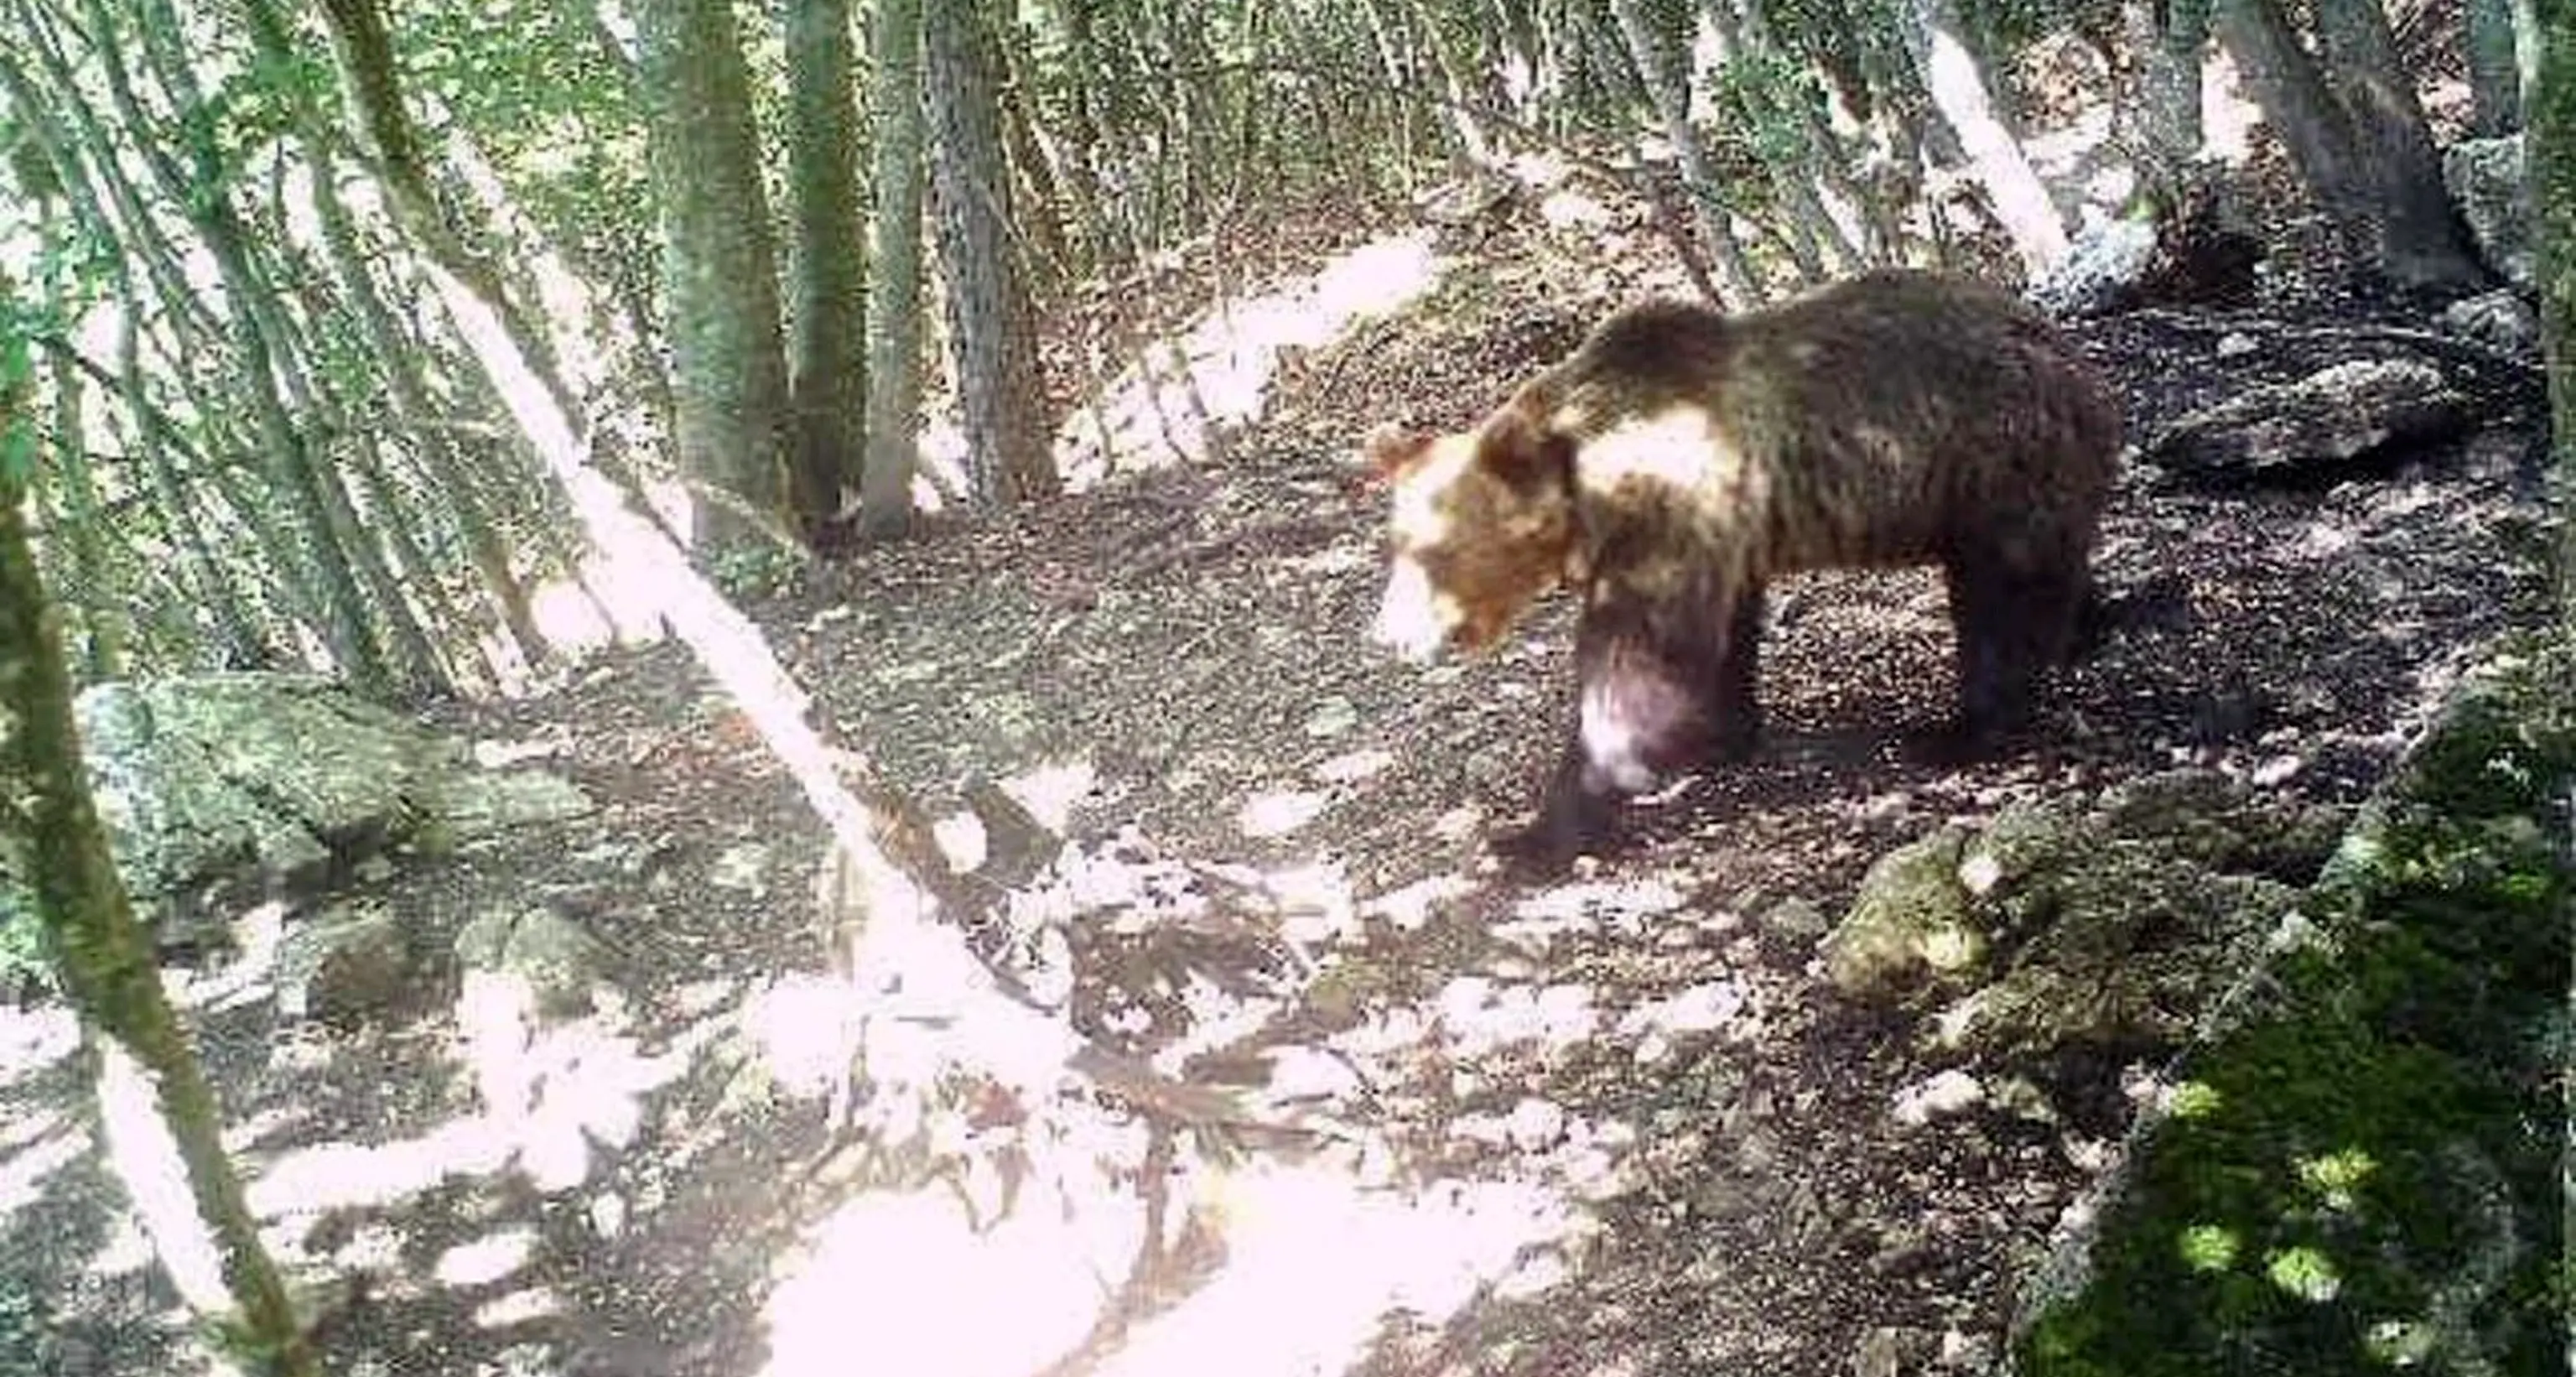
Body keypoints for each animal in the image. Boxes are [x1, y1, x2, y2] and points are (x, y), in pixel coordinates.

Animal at [1363, 268, 2124, 869]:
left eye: (1433, 550)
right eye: (1396, 543)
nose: (1389, 635)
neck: (1589, 490)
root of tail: (2073, 357)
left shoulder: (1665, 512)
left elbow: (1638, 661)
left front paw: (1545, 827)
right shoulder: (1723, 534)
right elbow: (1721, 636)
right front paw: (1718, 734)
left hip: (1988, 461)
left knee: (2003, 598)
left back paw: (1958, 730)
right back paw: (2093, 626)